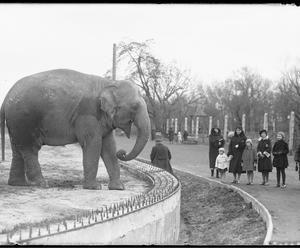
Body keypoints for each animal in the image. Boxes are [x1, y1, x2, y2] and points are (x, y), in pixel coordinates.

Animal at [0, 68, 150, 189]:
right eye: (135, 106)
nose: (122, 153)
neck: (109, 83)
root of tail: (6, 97)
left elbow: (109, 147)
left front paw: (118, 188)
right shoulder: (88, 114)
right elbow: (93, 144)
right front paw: (94, 187)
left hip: (17, 123)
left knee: (18, 149)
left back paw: (18, 184)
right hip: (25, 120)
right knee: (30, 149)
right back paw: (42, 184)